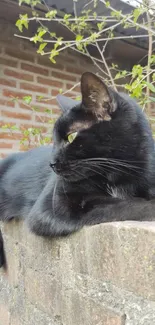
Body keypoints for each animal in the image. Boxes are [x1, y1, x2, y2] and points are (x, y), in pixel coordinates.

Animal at [0, 73, 155, 266]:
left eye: (71, 136)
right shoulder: (50, 208)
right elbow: (119, 205)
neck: (117, 174)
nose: (51, 163)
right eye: (54, 139)